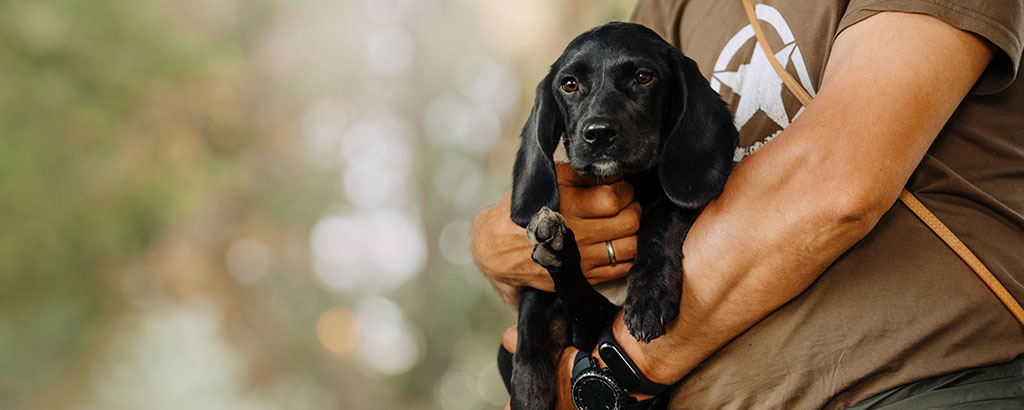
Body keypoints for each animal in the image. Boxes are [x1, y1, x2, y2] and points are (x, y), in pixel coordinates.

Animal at [505, 23, 737, 410]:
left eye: (643, 77)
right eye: (569, 84)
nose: (598, 134)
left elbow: (663, 215)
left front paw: (649, 292)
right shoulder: (539, 301)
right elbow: (531, 336)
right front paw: (528, 393)